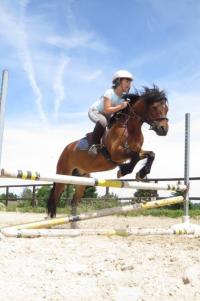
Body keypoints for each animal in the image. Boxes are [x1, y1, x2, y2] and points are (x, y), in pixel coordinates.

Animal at [47, 85, 169, 217]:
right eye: (154, 107)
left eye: (167, 109)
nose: (164, 130)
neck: (130, 128)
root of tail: (67, 149)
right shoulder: (117, 154)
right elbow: (135, 156)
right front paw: (124, 171)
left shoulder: (137, 151)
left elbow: (151, 154)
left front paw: (141, 173)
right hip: (63, 175)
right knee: (55, 199)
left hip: (82, 179)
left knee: (74, 201)